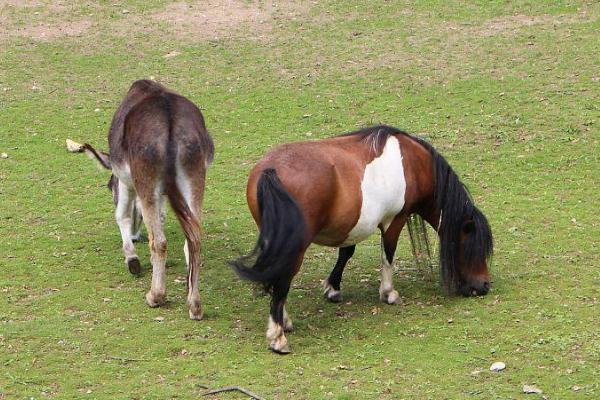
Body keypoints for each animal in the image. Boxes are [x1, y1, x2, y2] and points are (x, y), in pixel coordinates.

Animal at [82, 79, 213, 320]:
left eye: (109, 186)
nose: (136, 237)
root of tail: (169, 119)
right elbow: (160, 216)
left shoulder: (126, 181)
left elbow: (122, 215)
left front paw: (132, 260)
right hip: (195, 175)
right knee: (194, 239)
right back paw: (195, 306)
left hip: (146, 180)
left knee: (159, 241)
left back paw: (155, 296)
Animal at [230, 126, 492, 354]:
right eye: (473, 249)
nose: (484, 286)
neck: (413, 163)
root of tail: (270, 170)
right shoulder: (394, 220)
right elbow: (388, 255)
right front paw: (388, 293)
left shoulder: (352, 224)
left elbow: (347, 252)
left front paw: (333, 288)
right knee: (283, 280)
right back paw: (278, 337)